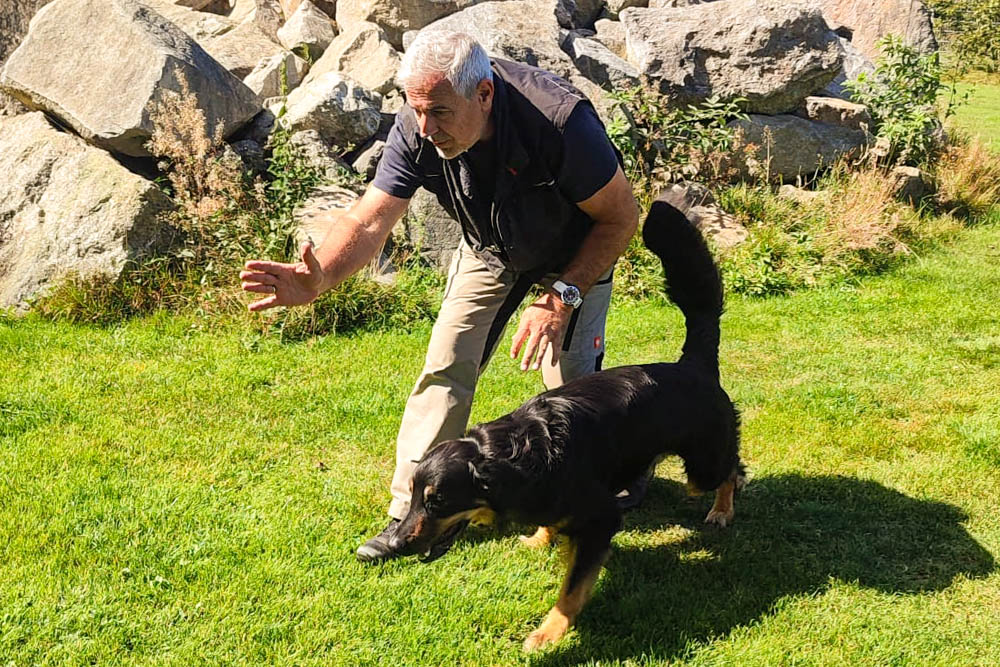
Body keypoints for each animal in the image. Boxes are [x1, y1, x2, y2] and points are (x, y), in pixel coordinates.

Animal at [389, 196, 745, 651]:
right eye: (415, 495)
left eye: (437, 502)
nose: (395, 543)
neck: (517, 456)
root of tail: (694, 364)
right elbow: (554, 526)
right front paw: (542, 538)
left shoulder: (601, 519)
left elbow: (573, 588)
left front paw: (549, 631)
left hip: (703, 463)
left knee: (730, 470)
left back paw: (722, 510)